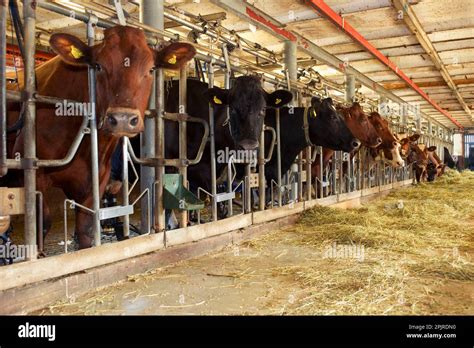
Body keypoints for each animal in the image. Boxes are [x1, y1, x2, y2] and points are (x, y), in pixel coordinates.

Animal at [4, 27, 196, 250]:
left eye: (150, 69)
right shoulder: (32, 173)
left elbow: (86, 228)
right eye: (98, 66)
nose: (122, 119)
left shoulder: (98, 177)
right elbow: (41, 224)